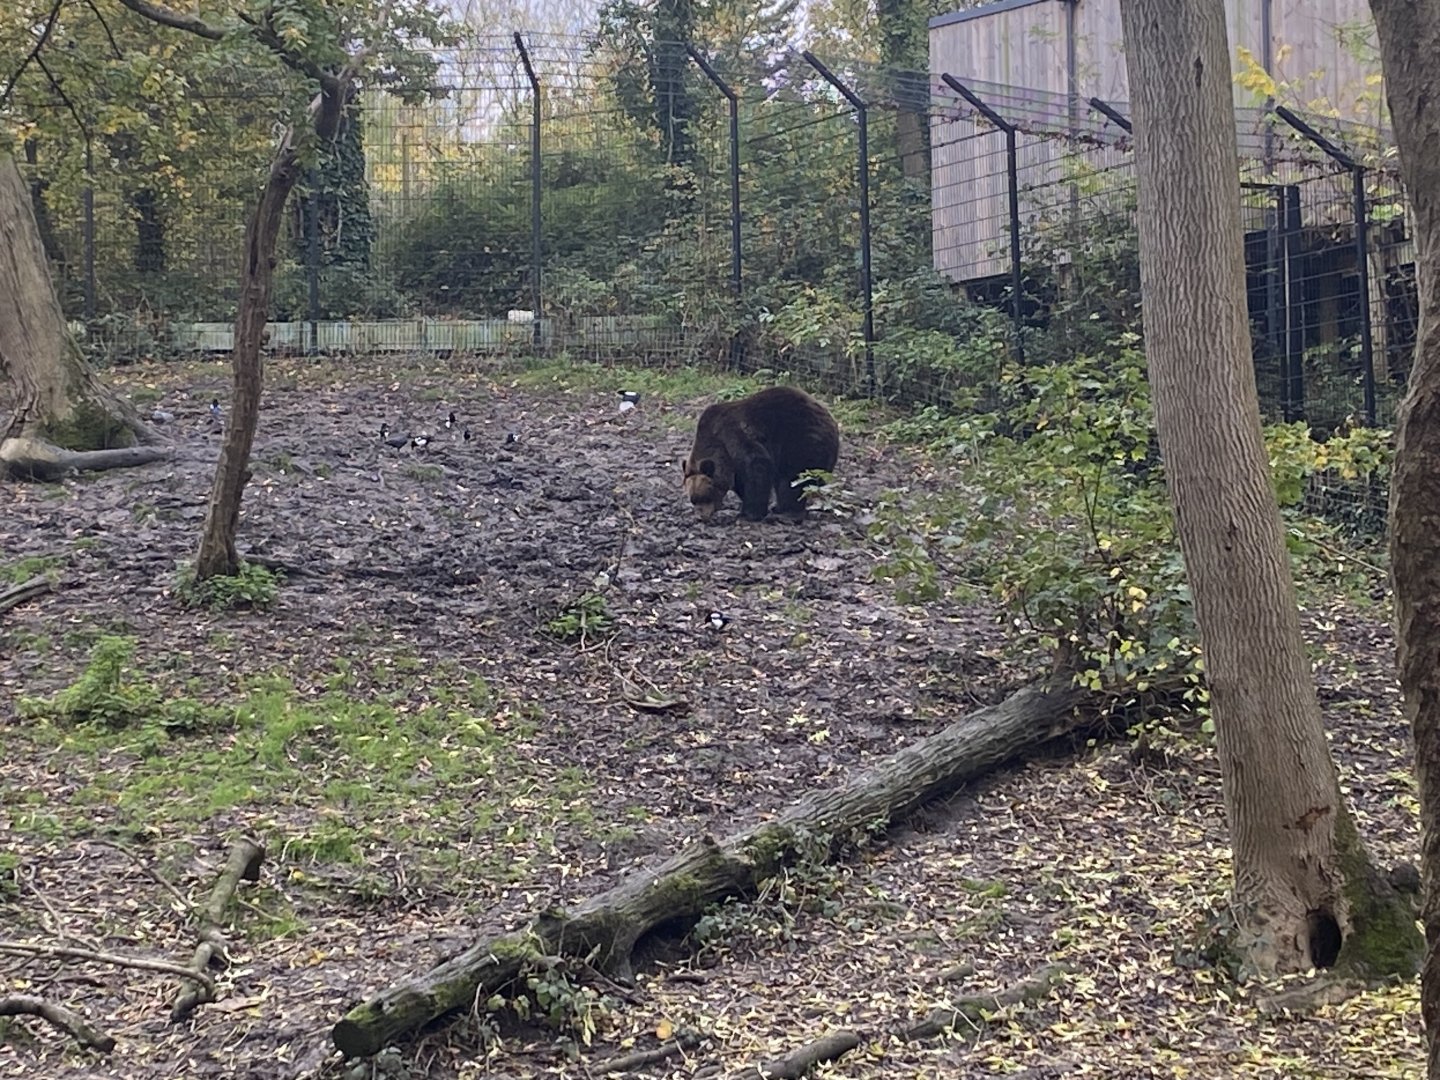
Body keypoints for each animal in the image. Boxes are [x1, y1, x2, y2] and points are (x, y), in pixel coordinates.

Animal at [681, 385, 840, 522]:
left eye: (705, 496)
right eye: (693, 500)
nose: (701, 516)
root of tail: (831, 420)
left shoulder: (734, 436)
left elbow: (757, 467)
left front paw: (750, 513)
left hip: (801, 441)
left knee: (793, 478)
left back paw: (788, 510)